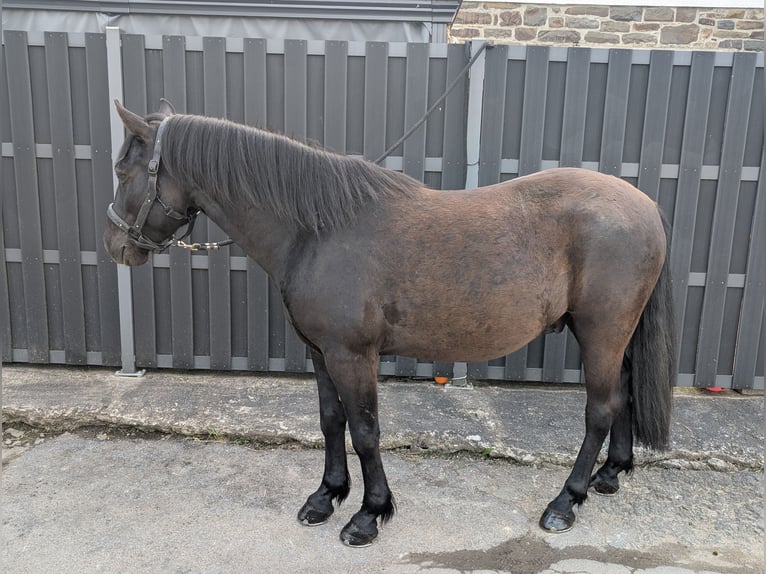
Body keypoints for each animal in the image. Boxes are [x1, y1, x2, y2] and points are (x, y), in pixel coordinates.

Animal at [104, 100, 676, 547]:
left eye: (123, 171)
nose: (116, 247)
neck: (318, 230)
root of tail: (646, 205)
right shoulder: (321, 352)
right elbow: (331, 421)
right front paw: (326, 496)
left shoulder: (352, 355)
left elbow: (365, 431)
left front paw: (368, 514)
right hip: (614, 335)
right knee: (622, 393)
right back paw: (609, 476)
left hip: (600, 331)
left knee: (599, 410)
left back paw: (565, 501)